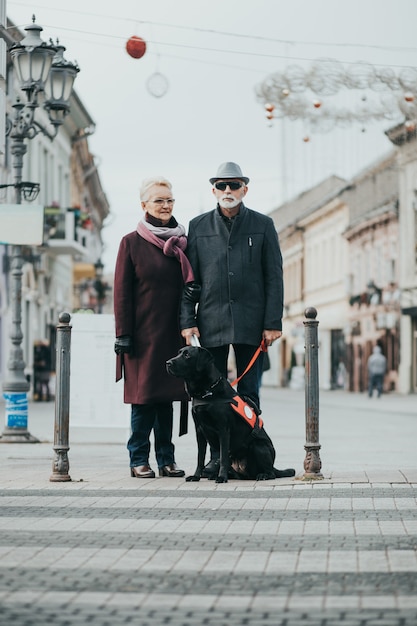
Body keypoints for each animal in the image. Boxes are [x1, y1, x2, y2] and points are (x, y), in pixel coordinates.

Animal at [164, 344, 294, 480]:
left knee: (270, 472)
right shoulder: (199, 430)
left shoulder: (223, 429)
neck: (207, 391)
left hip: (258, 446)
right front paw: (196, 476)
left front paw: (221, 477)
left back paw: (263, 475)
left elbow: (222, 457)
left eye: (187, 355)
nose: (167, 363)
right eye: (179, 353)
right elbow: (200, 457)